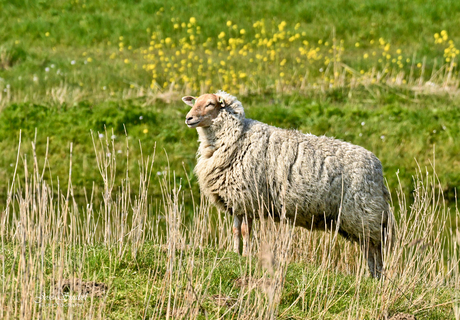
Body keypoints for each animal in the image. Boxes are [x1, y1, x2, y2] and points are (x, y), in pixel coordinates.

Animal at [181, 90, 394, 278]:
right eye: (195, 102)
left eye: (210, 104)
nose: (188, 118)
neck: (236, 136)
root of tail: (377, 166)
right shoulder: (237, 200)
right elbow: (235, 230)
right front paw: (235, 253)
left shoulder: (249, 198)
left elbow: (245, 231)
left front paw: (247, 255)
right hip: (358, 220)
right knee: (369, 248)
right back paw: (372, 276)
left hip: (365, 214)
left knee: (376, 249)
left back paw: (377, 276)